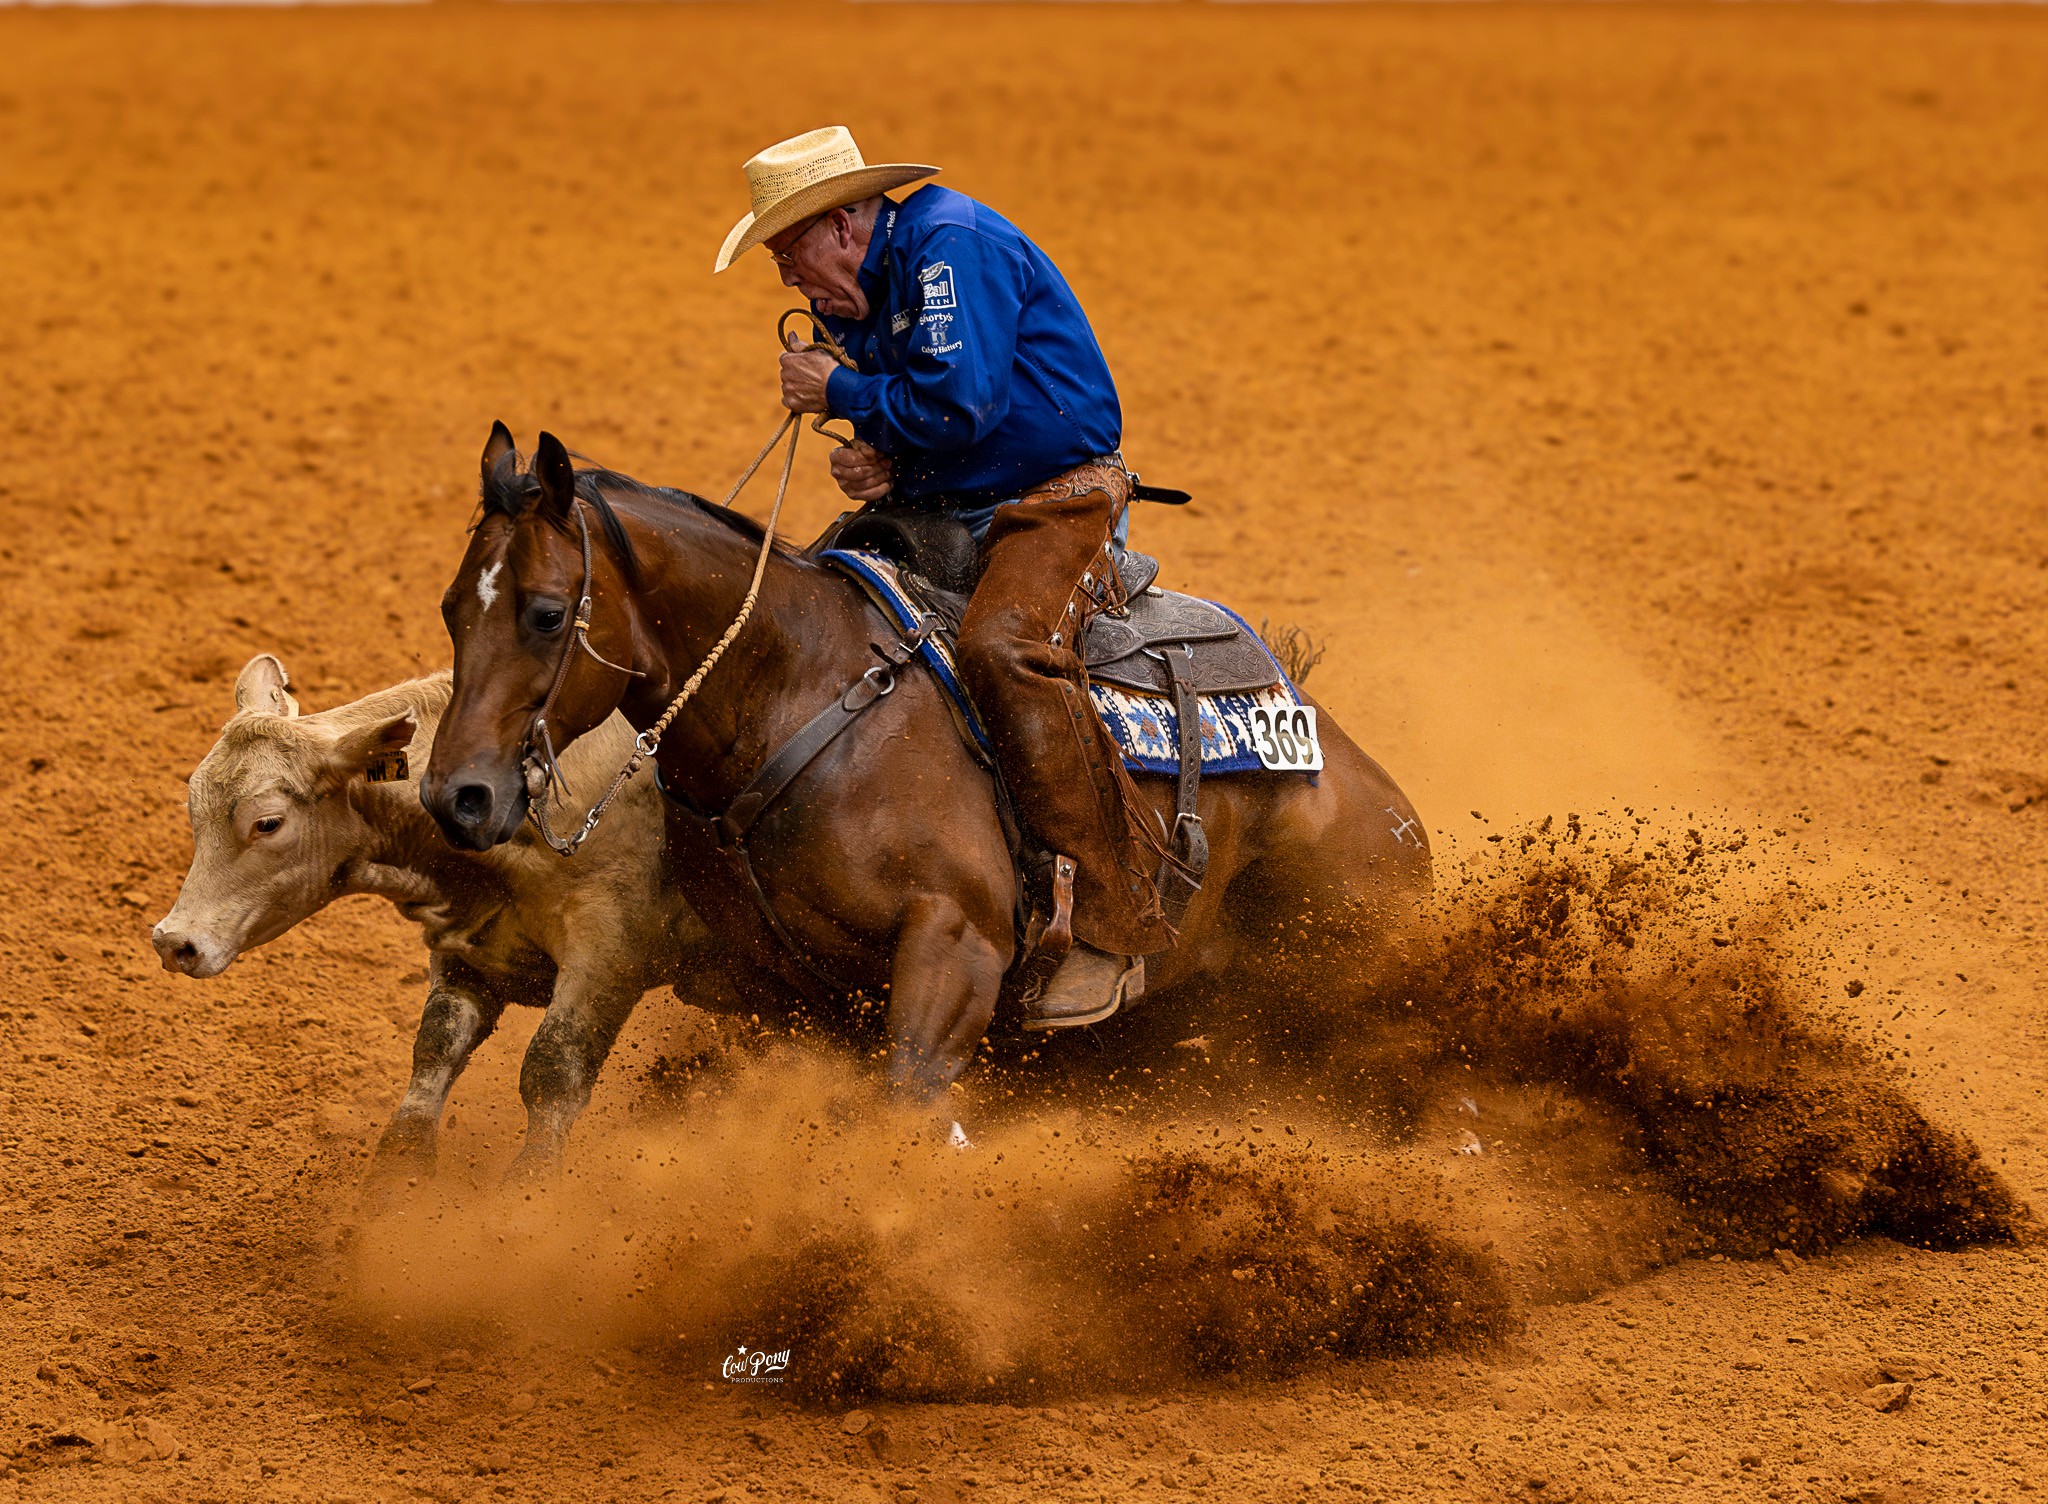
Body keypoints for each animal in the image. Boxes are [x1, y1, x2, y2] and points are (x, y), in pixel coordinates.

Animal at [151, 653, 706, 1185]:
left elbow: (554, 1067)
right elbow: (437, 1046)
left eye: (267, 823)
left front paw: (529, 1190)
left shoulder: (608, 950)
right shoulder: (470, 950)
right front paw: (398, 1180)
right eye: (192, 809)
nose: (172, 941)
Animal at [421, 424, 1431, 1114]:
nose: (456, 796)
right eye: (448, 608)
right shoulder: (800, 999)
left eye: (548, 612)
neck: (795, 692)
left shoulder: (954, 947)